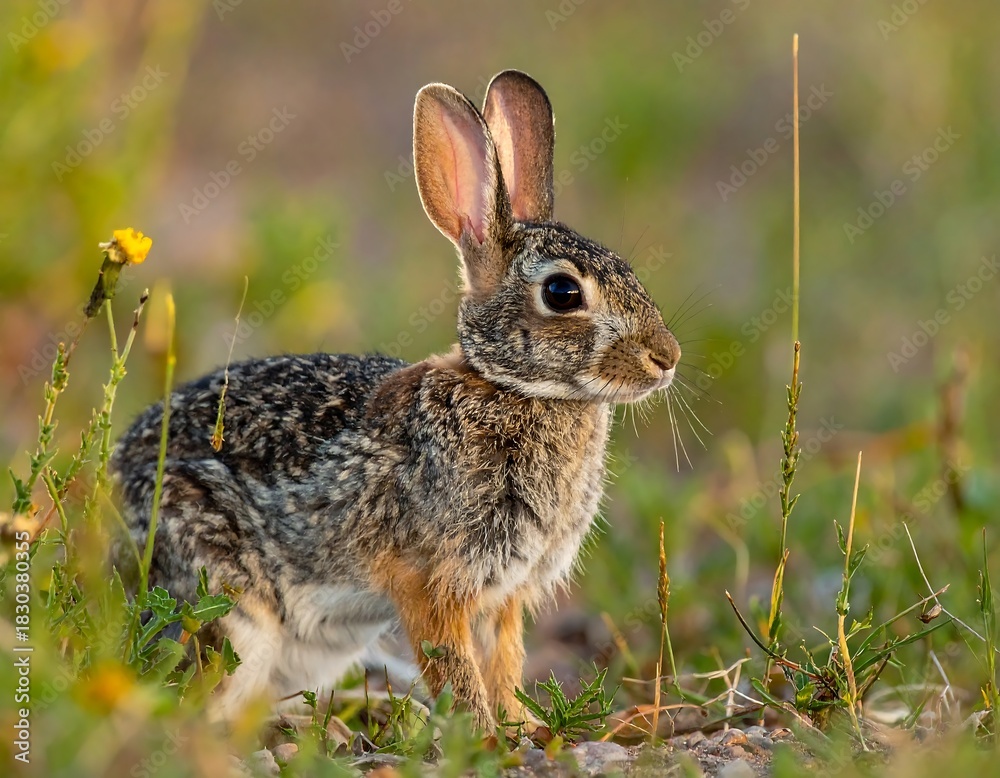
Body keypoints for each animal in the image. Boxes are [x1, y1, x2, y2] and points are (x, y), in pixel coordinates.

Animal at [111, 69, 680, 732]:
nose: (666, 357)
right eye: (563, 292)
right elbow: (455, 667)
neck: (512, 387)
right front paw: (484, 737)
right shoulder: (430, 580)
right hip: (230, 607)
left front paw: (523, 729)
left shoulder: (505, 594)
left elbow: (504, 662)